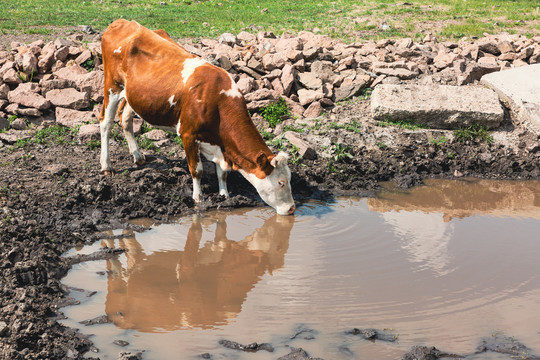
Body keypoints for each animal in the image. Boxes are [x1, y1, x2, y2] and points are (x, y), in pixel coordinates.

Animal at [100, 19, 296, 215]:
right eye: (281, 182)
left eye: (290, 178)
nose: (292, 208)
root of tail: (123, 22)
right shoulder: (188, 134)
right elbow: (197, 170)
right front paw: (198, 198)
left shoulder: (220, 145)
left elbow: (222, 173)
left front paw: (224, 195)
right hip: (112, 86)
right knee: (105, 122)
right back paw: (106, 166)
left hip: (133, 94)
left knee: (125, 117)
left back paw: (138, 156)